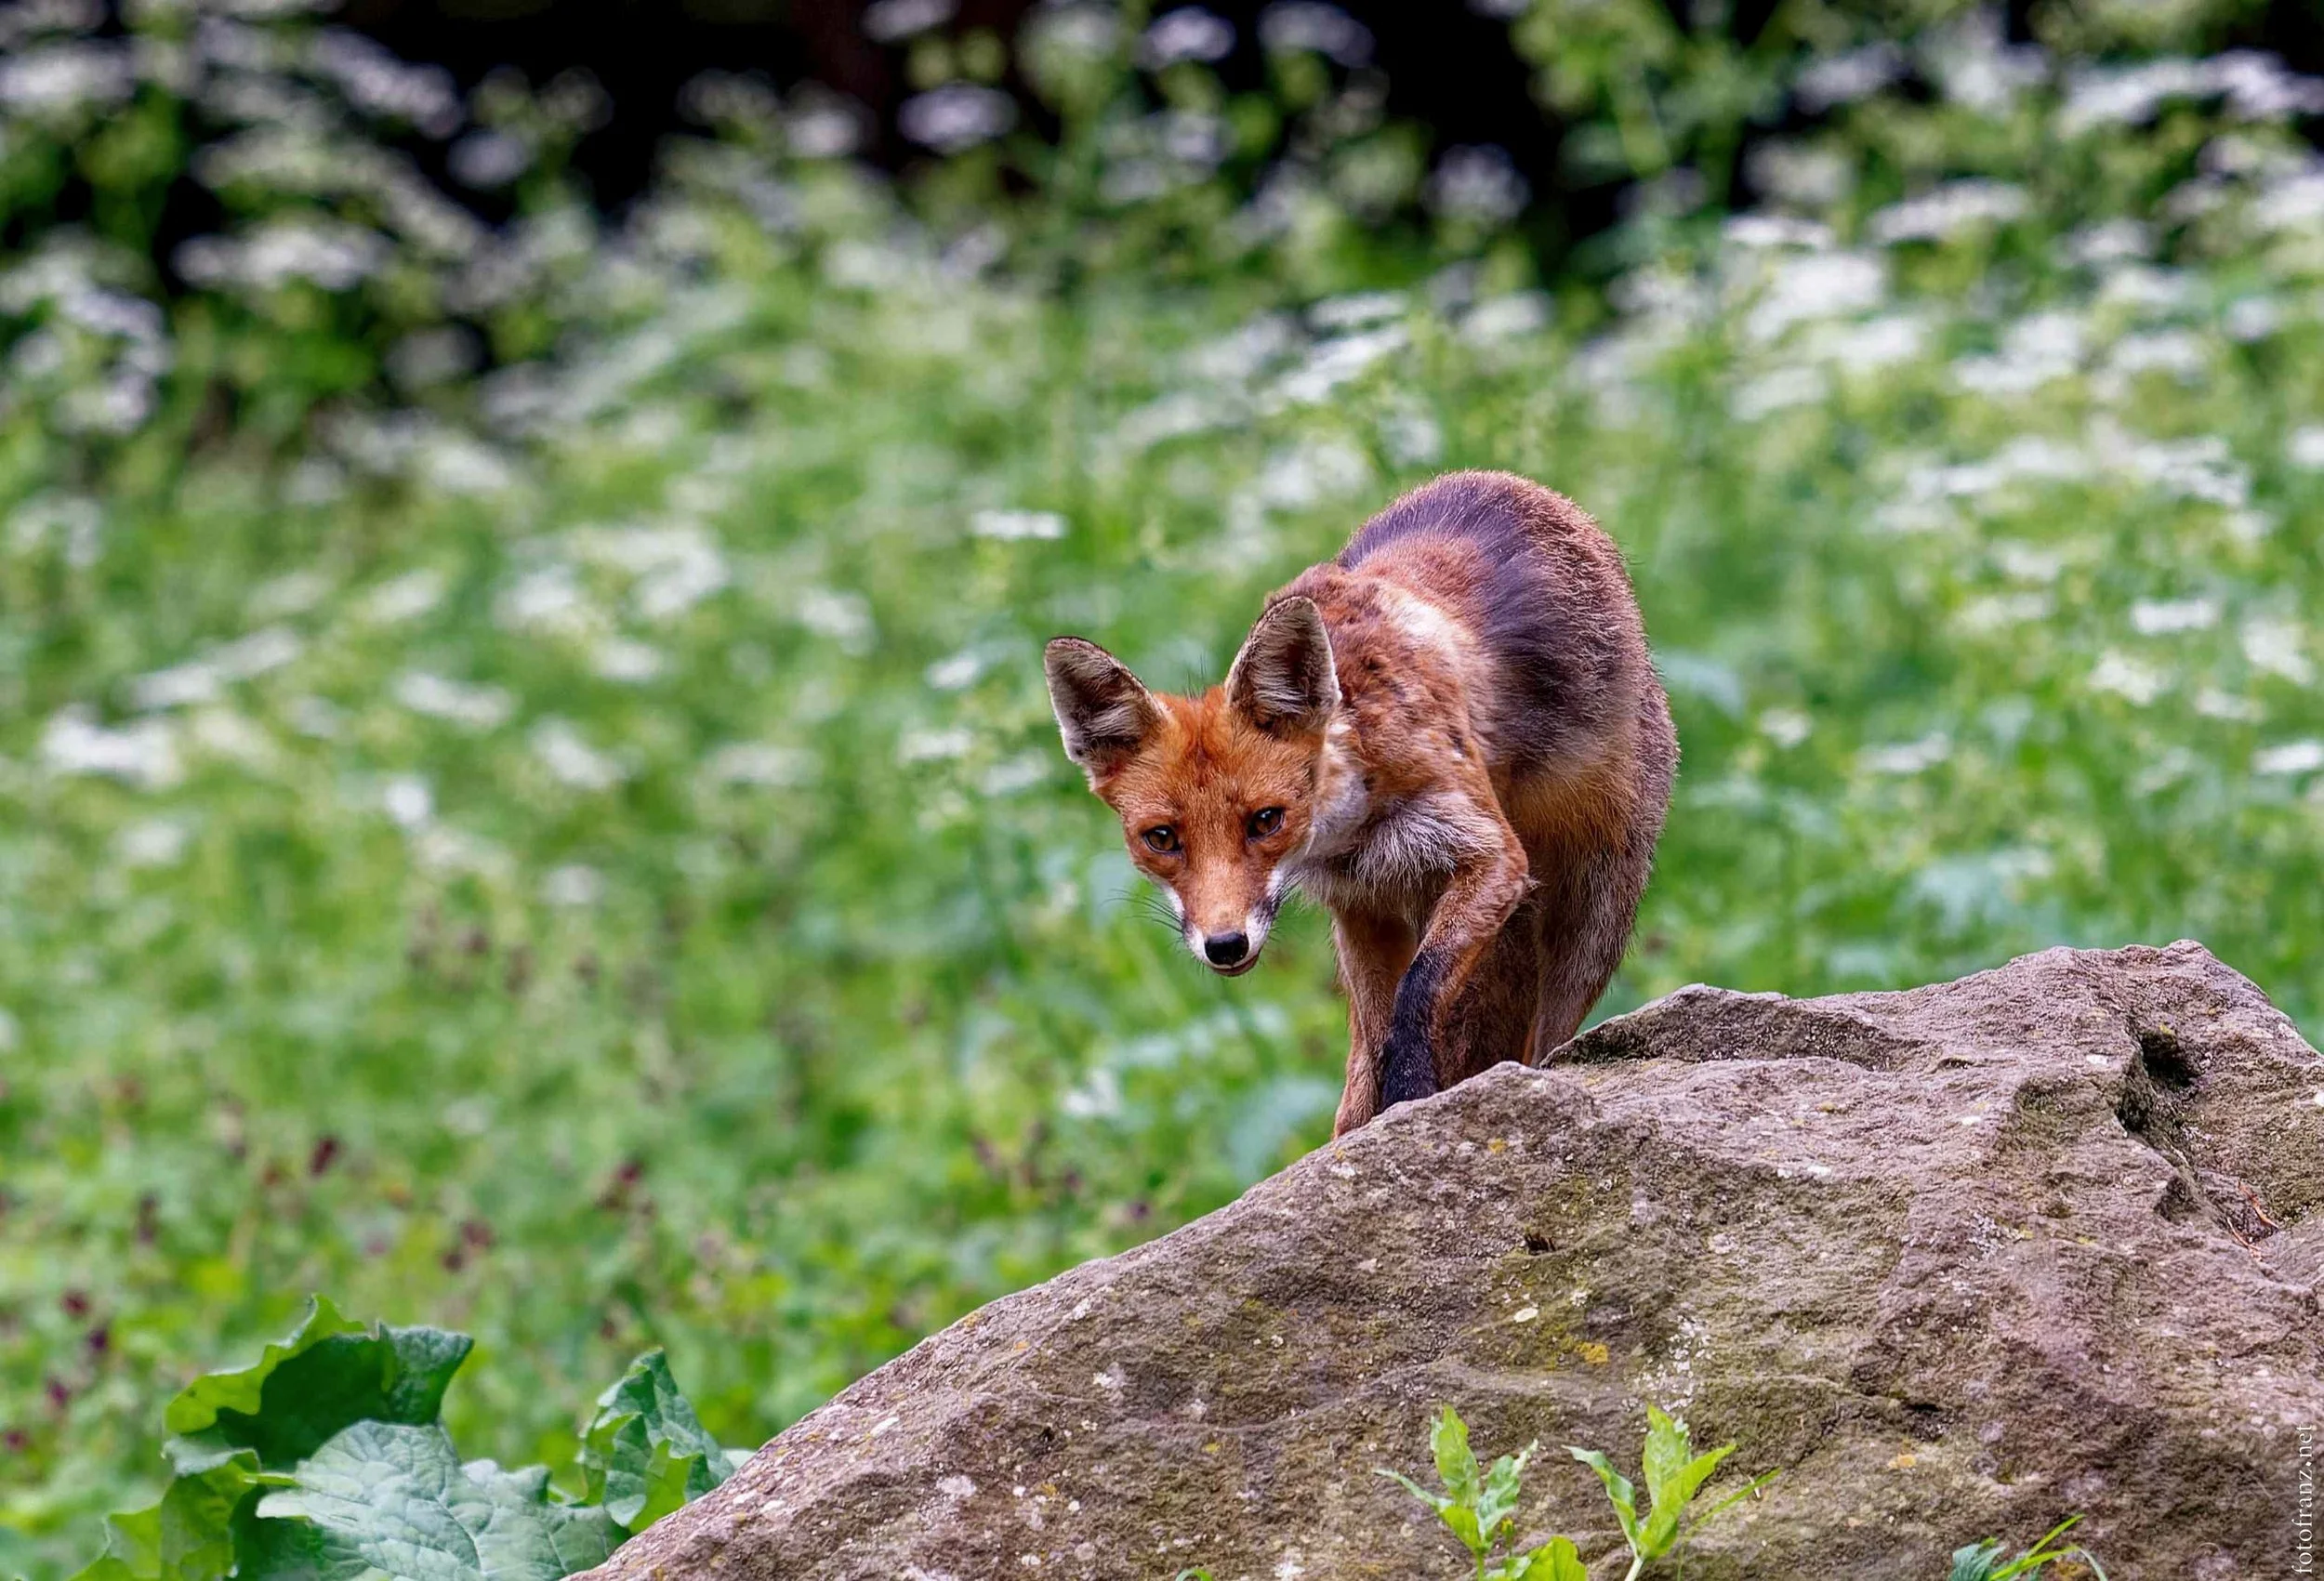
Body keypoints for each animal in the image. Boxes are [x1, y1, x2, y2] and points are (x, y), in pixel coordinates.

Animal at [1044, 470, 1677, 1135]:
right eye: (1162, 838)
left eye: (1266, 821)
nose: (1226, 945)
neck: (1356, 823)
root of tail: (1519, 485)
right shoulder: (1358, 905)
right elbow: (1375, 1041)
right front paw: (1371, 1127)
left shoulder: (1493, 857)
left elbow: (1417, 992)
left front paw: (1414, 1097)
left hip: (1592, 915)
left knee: (1548, 1035)